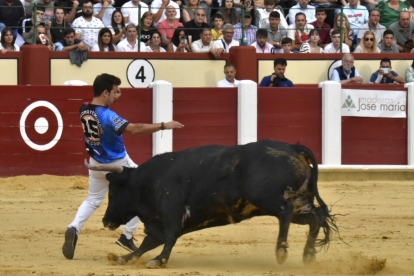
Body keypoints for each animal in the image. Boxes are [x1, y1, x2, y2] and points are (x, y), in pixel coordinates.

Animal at [85, 140, 336, 268]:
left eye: (114, 189)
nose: (106, 221)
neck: (150, 180)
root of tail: (293, 147)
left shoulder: (171, 213)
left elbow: (168, 237)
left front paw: (160, 260)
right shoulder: (159, 222)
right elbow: (149, 242)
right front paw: (125, 258)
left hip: (267, 198)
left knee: (285, 213)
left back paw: (281, 251)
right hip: (299, 203)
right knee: (314, 219)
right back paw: (308, 255)